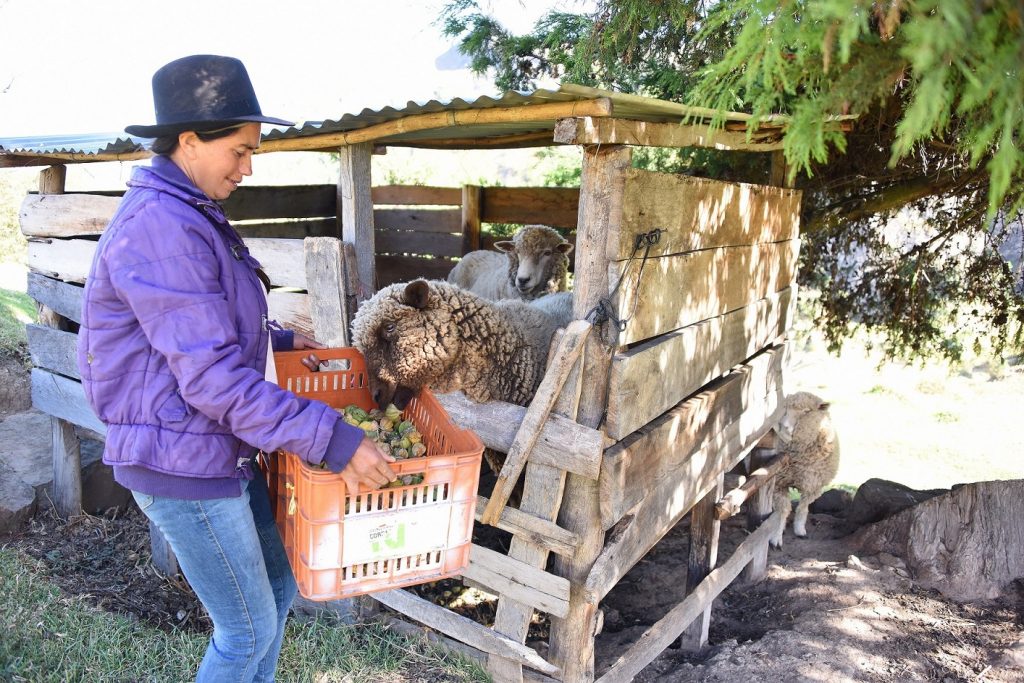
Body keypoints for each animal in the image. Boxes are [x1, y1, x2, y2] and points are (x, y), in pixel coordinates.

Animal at [770, 393, 835, 548]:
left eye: (806, 411)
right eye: (784, 410)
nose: (785, 427)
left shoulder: (814, 485)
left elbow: (803, 507)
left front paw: (799, 528)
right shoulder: (778, 484)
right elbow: (783, 511)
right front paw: (776, 537)